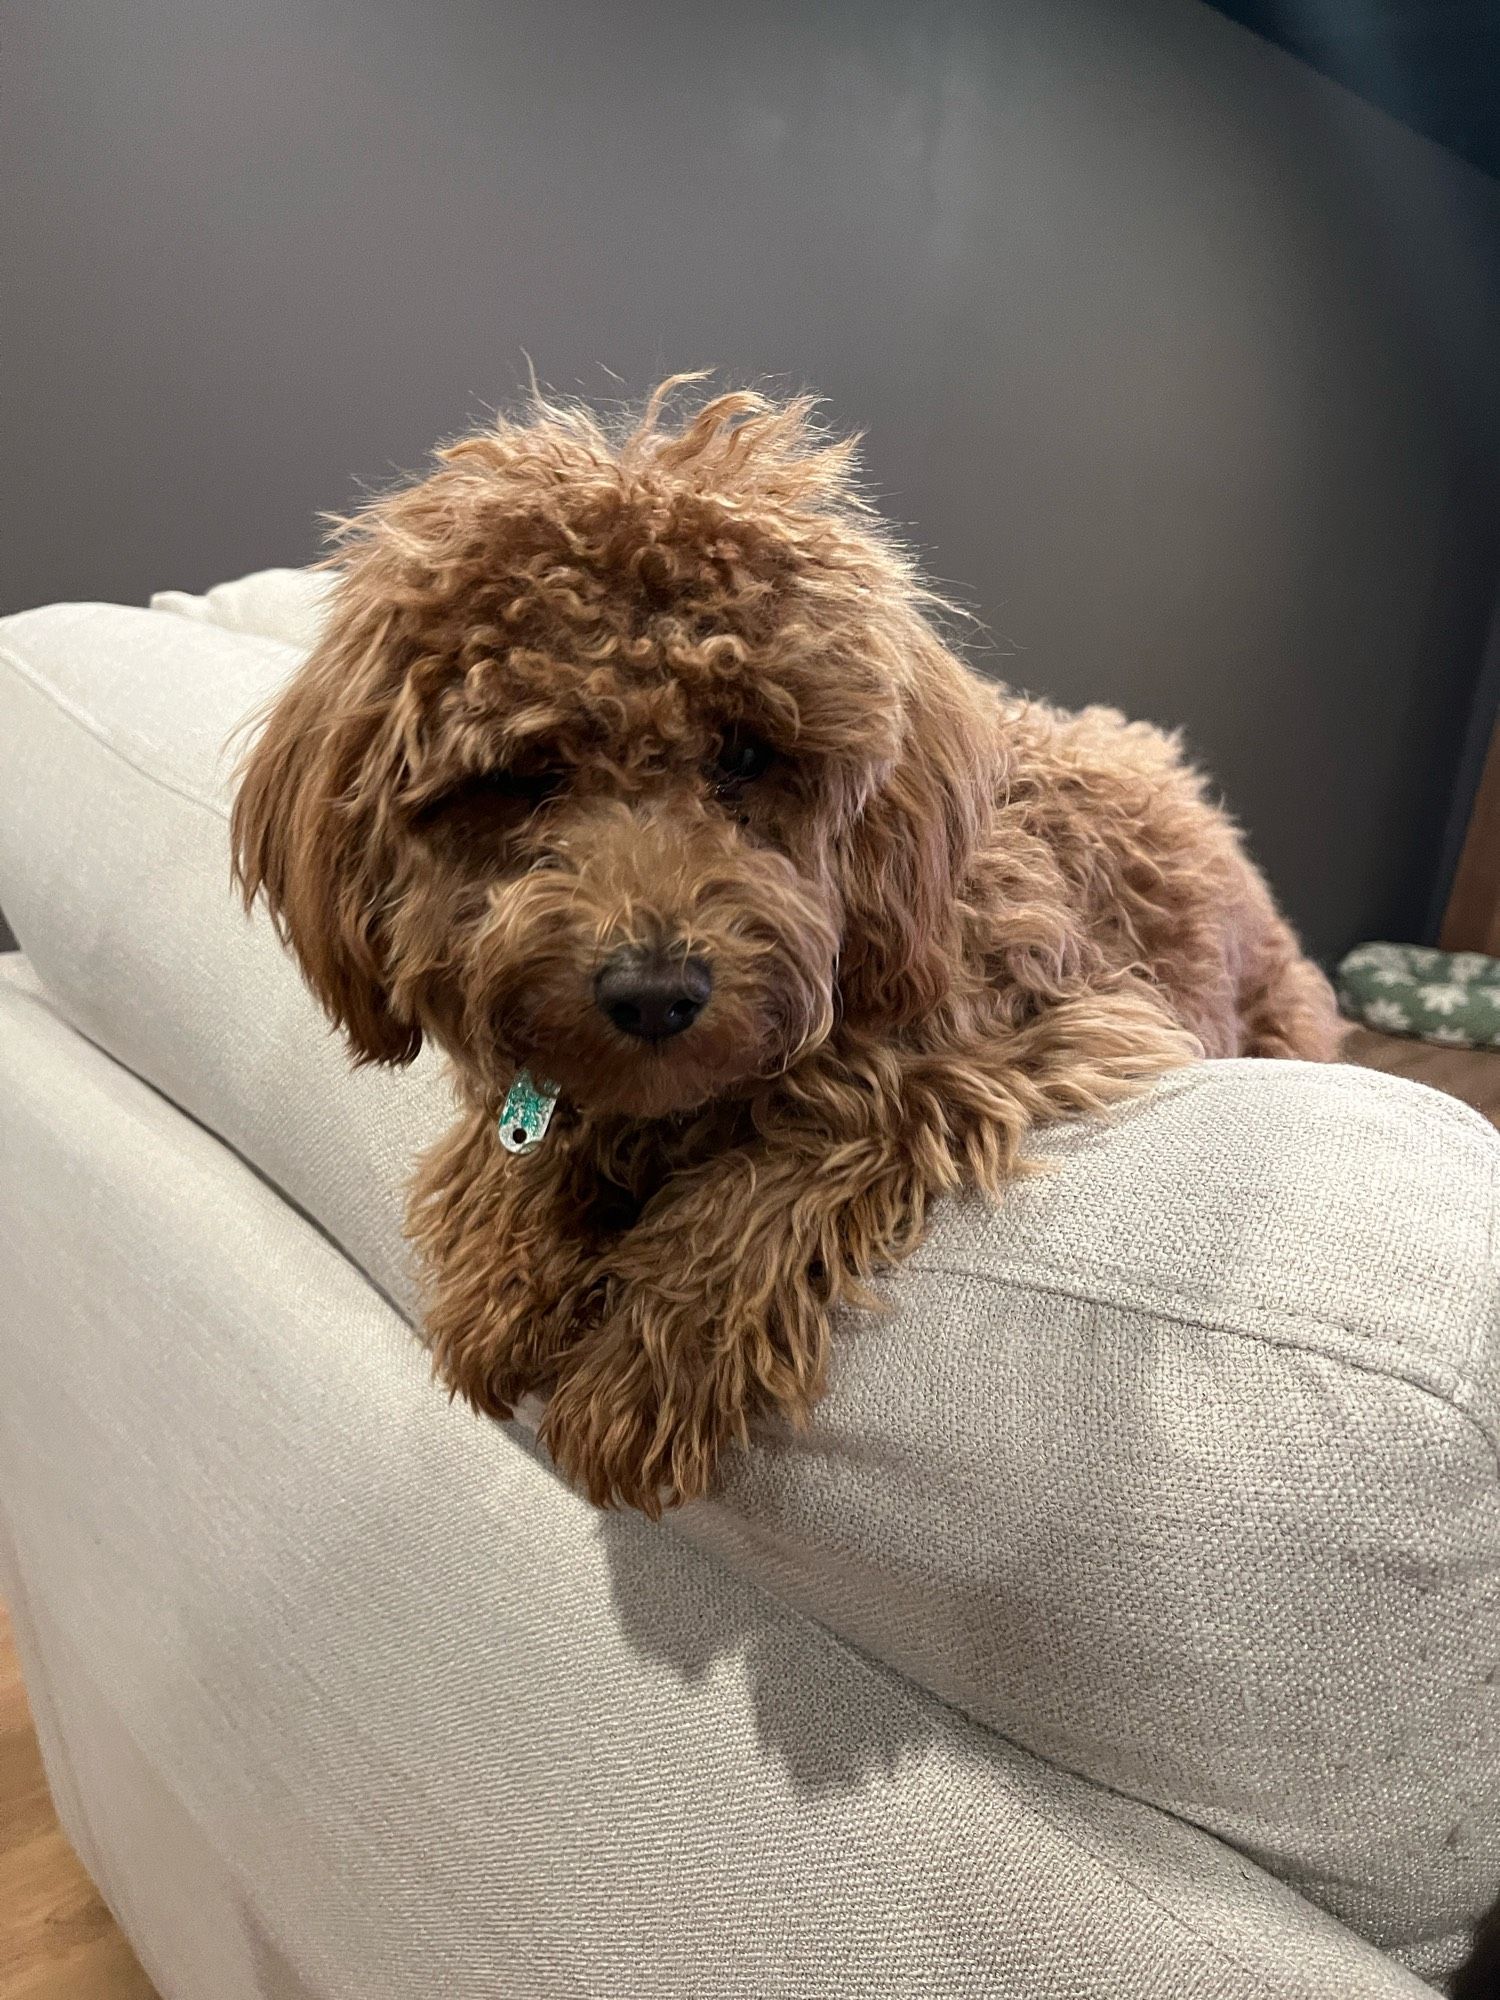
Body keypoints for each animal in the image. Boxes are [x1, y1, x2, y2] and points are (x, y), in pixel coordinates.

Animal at [232, 378, 1336, 1512]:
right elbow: (522, 1138)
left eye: (747, 754)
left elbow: (803, 1146)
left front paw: (644, 1368)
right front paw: (505, 1267)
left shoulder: (1041, 1031)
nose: (655, 993)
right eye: (524, 773)